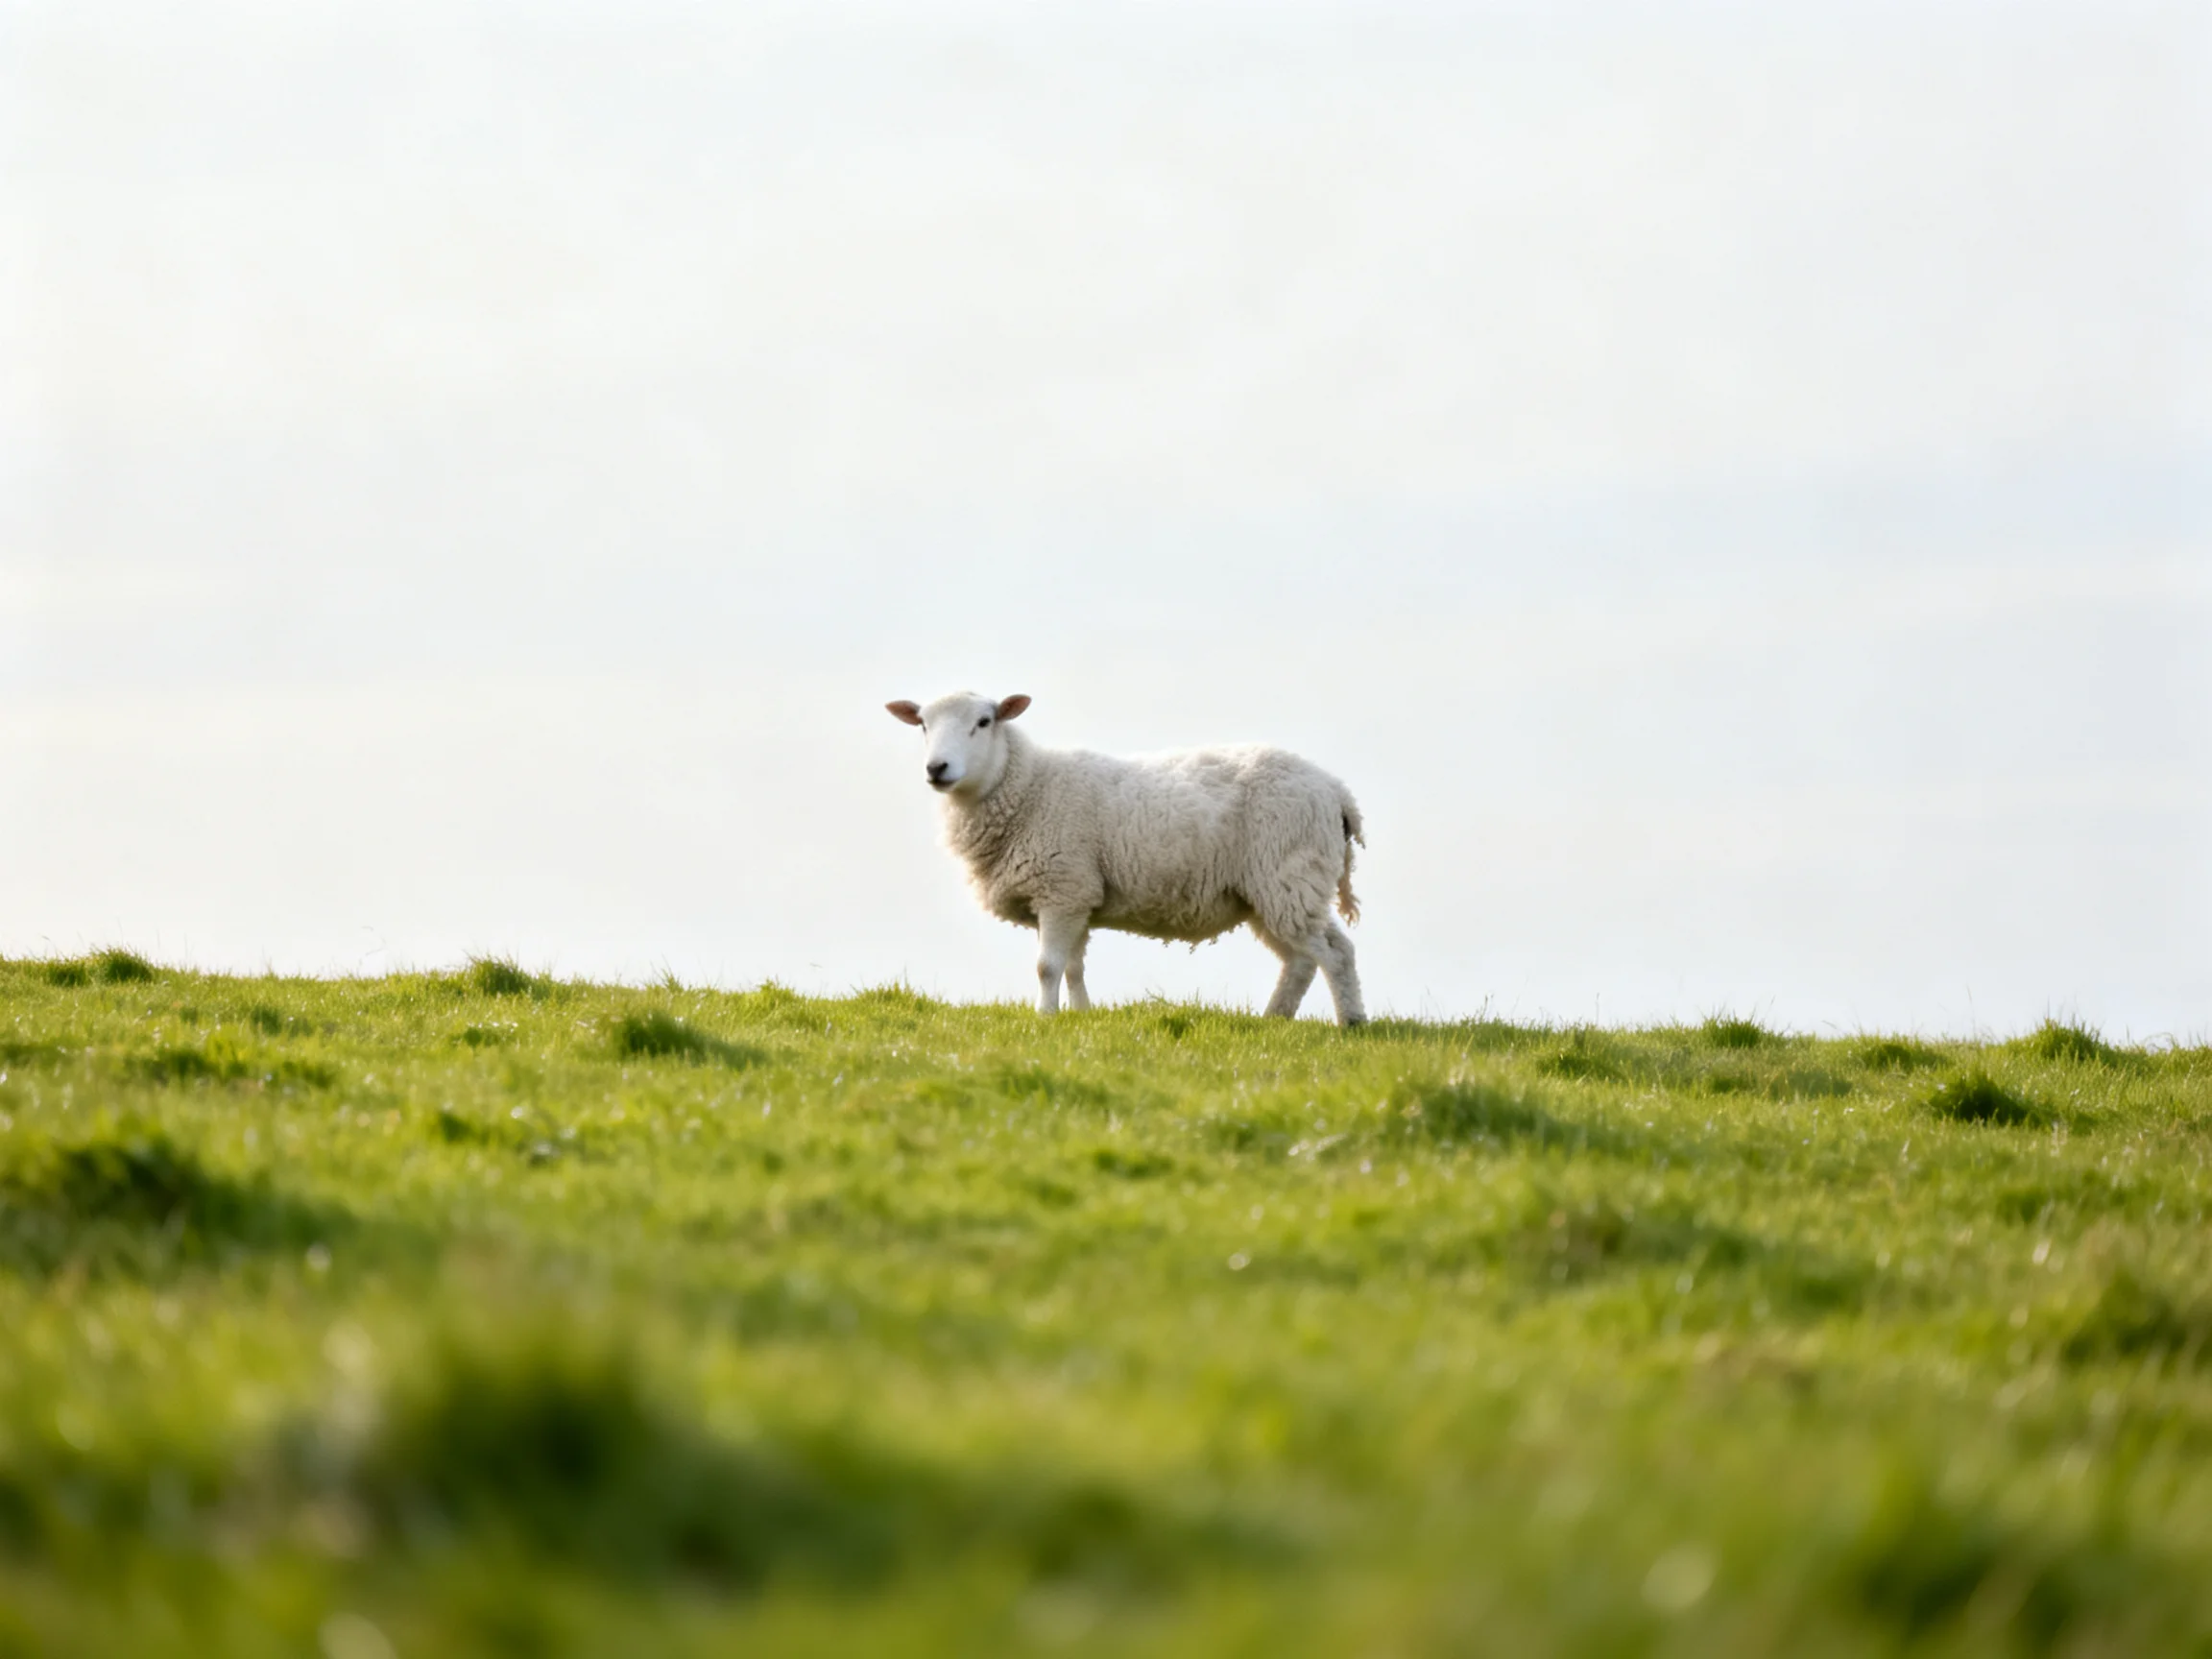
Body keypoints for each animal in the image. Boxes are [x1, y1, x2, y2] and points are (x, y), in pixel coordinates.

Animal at [885, 691, 1367, 1026]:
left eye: (984, 722)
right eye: (923, 724)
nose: (937, 768)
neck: (1027, 786)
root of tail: (1336, 791)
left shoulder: (1061, 888)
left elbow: (1046, 967)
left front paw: (1044, 1019)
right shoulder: (1075, 894)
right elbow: (1073, 967)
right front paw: (1080, 1016)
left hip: (1288, 873)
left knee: (1335, 953)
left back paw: (1351, 1023)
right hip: (1277, 889)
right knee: (1300, 961)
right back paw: (1275, 1020)